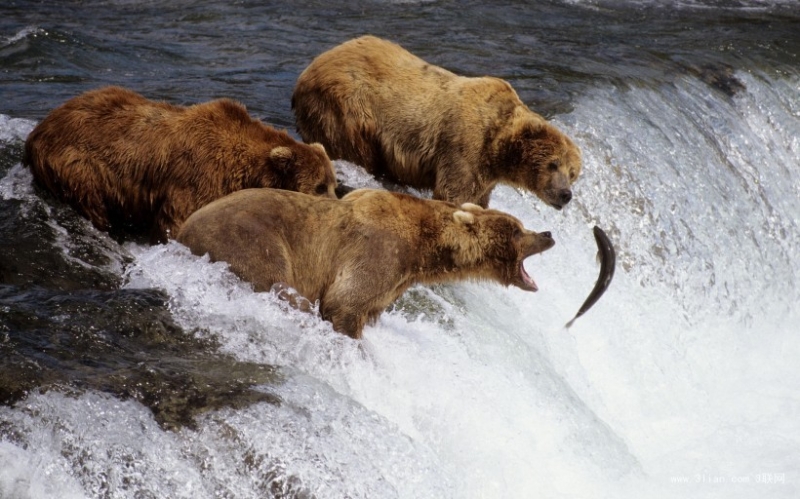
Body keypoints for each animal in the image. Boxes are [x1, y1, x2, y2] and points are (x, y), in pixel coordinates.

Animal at [24, 85, 338, 242]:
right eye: (319, 186)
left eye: (333, 184)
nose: (336, 206)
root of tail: (37, 131)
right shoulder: (197, 177)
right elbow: (177, 222)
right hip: (78, 165)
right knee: (91, 202)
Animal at [178, 188, 556, 340]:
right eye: (518, 230)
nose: (548, 233)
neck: (423, 250)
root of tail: (181, 231)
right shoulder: (377, 252)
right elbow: (344, 302)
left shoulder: (394, 282)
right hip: (251, 241)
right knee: (280, 285)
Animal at [292, 35, 580, 210]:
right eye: (553, 164)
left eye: (573, 173)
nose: (566, 194)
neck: (498, 147)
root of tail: (309, 68)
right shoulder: (465, 147)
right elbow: (454, 193)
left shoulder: (486, 174)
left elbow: (478, 199)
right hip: (347, 108)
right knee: (355, 149)